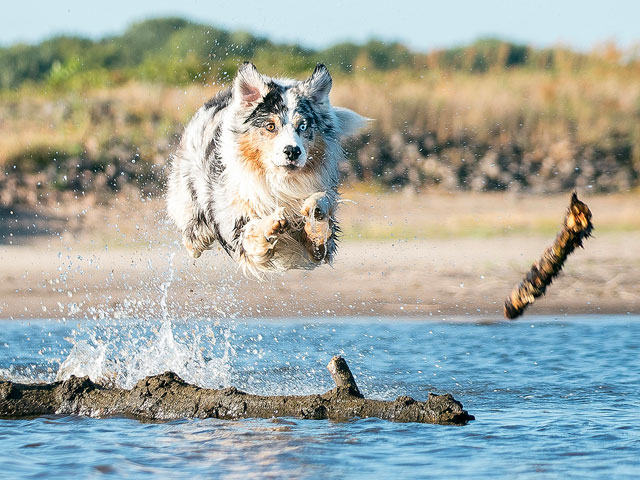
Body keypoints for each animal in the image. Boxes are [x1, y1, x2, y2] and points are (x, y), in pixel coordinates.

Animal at [166, 62, 364, 278]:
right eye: (270, 126)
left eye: (303, 126)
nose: (292, 151)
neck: (279, 182)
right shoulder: (235, 227)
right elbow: (251, 230)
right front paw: (271, 223)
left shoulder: (320, 248)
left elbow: (321, 210)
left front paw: (315, 210)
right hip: (192, 211)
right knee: (193, 240)